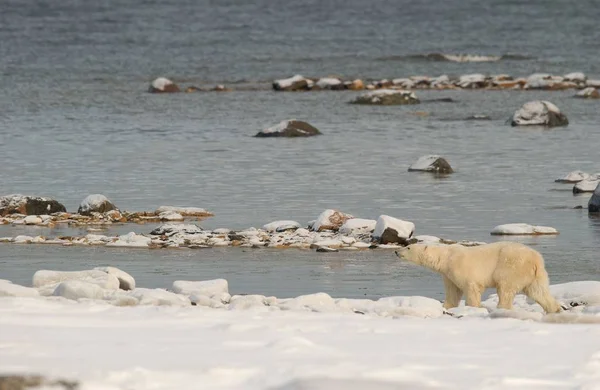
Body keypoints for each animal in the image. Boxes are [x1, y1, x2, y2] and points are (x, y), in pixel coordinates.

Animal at [394, 241, 564, 314]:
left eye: (408, 247)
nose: (396, 252)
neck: (446, 257)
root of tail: (536, 259)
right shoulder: (448, 274)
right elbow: (453, 292)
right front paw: (447, 306)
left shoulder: (460, 266)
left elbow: (470, 288)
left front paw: (473, 307)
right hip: (537, 275)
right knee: (539, 291)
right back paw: (554, 309)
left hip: (512, 266)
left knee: (505, 287)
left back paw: (501, 308)